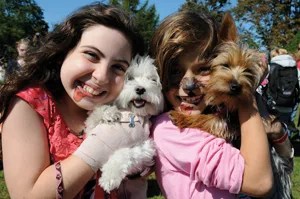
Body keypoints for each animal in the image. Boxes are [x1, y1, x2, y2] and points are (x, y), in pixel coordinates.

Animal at [84, 54, 164, 193]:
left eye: (152, 80)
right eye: (130, 78)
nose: (140, 89)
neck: (133, 113)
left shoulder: (146, 146)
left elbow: (126, 154)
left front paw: (109, 177)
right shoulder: (90, 129)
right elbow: (94, 117)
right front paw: (109, 112)